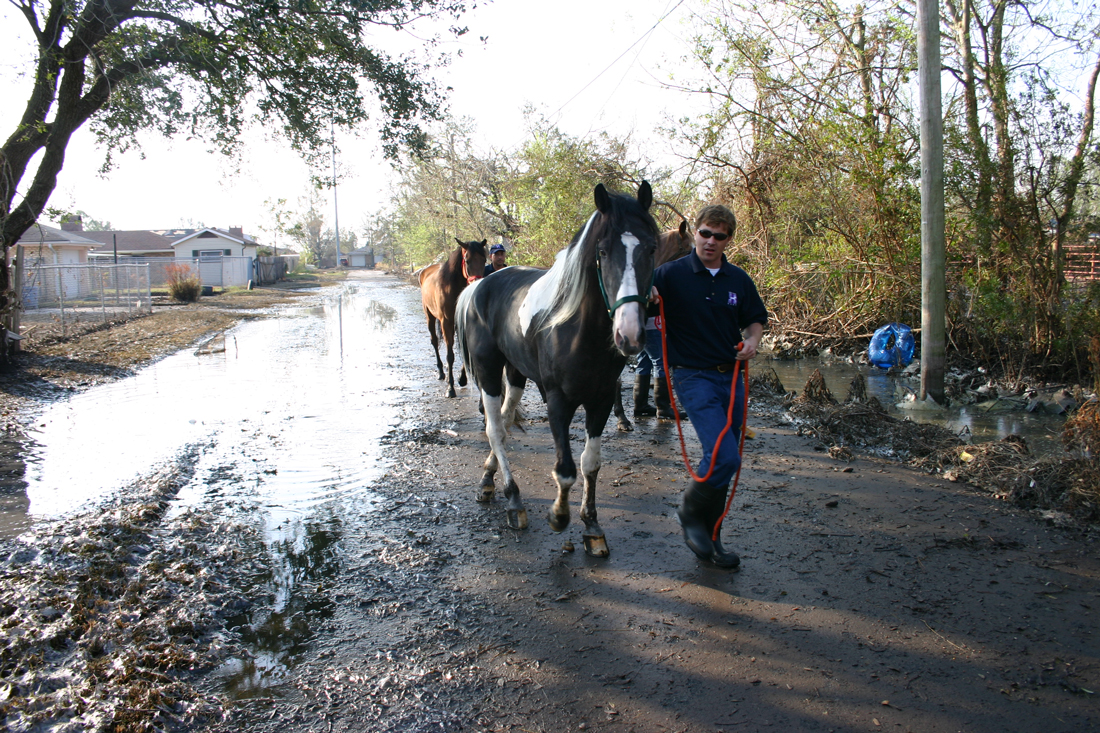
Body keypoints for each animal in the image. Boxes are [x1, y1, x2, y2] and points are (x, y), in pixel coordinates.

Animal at [418, 238, 488, 397]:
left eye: (484, 259)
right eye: (467, 260)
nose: (477, 284)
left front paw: (462, 379)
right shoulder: (447, 322)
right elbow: (450, 355)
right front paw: (450, 388)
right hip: (430, 316)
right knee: (434, 341)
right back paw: (441, 372)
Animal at [456, 181, 659, 557]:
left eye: (651, 248)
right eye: (603, 251)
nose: (630, 334)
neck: (578, 329)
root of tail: (478, 286)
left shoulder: (601, 400)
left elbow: (590, 463)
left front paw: (592, 526)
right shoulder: (558, 401)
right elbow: (564, 469)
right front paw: (559, 516)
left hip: (516, 374)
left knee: (504, 423)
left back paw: (489, 480)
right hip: (489, 372)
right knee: (494, 429)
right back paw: (514, 501)